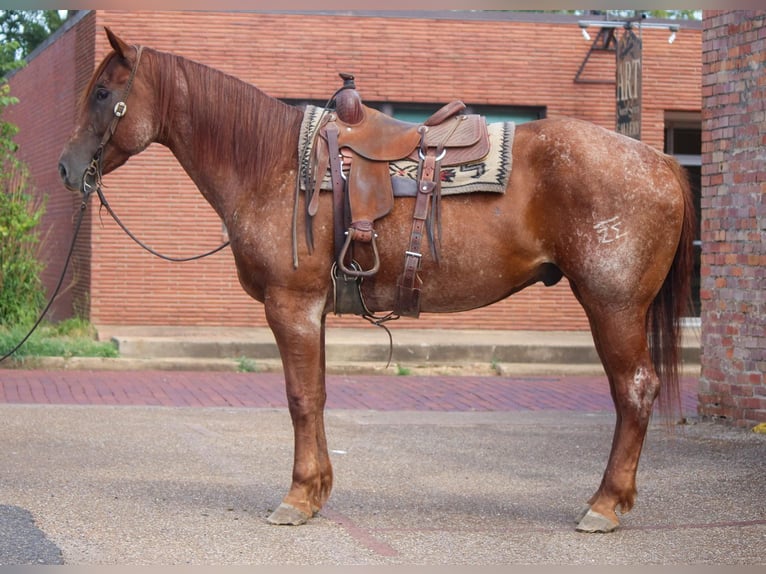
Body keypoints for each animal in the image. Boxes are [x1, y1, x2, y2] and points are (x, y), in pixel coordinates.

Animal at [58, 28, 696, 536]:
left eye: (103, 93)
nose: (66, 167)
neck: (275, 166)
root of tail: (661, 161)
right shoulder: (310, 310)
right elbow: (315, 396)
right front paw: (316, 491)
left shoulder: (290, 305)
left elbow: (299, 398)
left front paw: (296, 497)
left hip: (612, 305)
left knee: (634, 390)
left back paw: (604, 504)